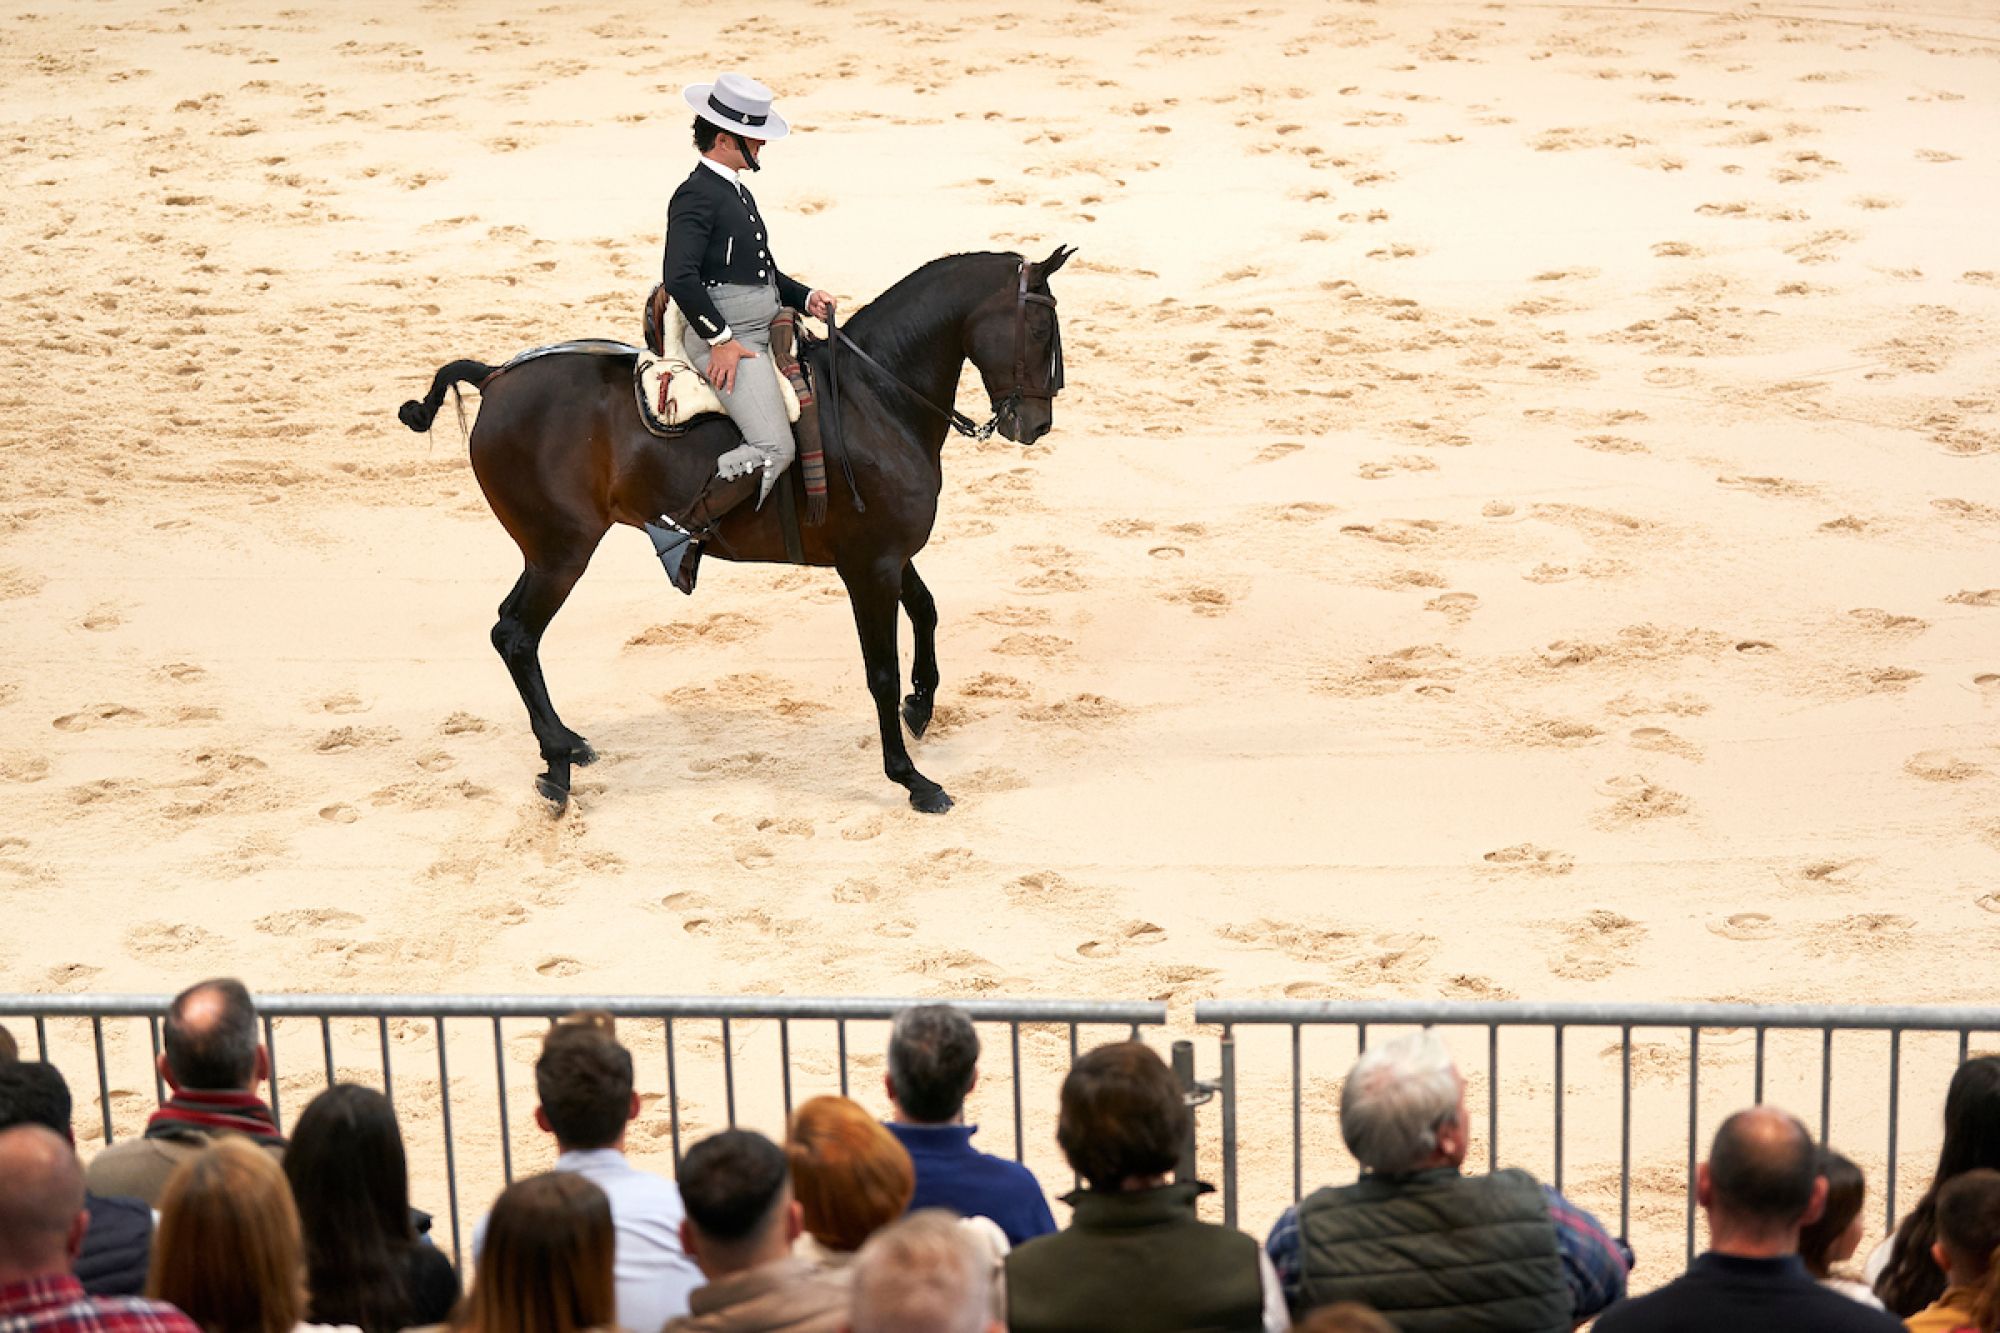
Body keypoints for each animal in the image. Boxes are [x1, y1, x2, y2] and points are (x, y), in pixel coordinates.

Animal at [396, 245, 1072, 816]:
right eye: (1041, 330)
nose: (1036, 425)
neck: (875, 399)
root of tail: (494, 376)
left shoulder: (887, 556)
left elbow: (927, 611)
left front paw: (922, 706)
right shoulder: (869, 566)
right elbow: (879, 670)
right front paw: (912, 779)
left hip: (546, 553)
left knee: (512, 632)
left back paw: (566, 744)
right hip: (560, 553)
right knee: (515, 634)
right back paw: (558, 765)